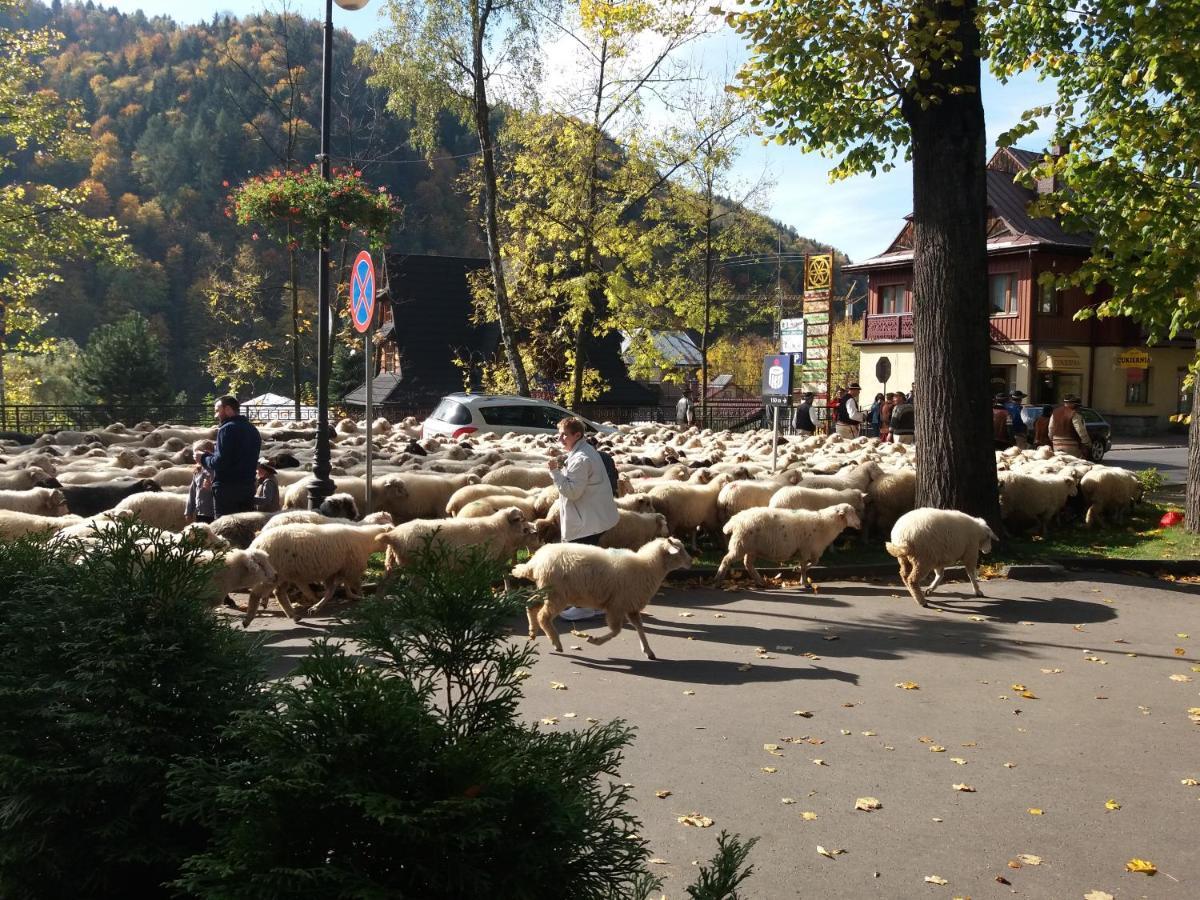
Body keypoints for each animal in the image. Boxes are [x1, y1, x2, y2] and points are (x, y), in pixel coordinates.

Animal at [511, 540, 691, 657]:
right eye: (680, 550)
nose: (690, 562)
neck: (647, 566)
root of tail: (535, 562)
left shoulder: (631, 606)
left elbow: (639, 628)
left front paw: (648, 651)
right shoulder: (617, 606)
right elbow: (616, 630)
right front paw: (594, 640)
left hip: (547, 590)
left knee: (530, 603)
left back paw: (532, 632)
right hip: (556, 594)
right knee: (543, 616)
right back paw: (556, 643)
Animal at [710, 504, 864, 588]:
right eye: (851, 512)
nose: (860, 524)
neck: (826, 524)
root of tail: (735, 520)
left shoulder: (813, 550)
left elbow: (812, 563)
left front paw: (798, 573)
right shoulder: (805, 549)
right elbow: (805, 566)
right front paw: (804, 582)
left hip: (750, 548)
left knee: (748, 564)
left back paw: (760, 581)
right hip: (740, 545)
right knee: (727, 560)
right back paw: (717, 580)